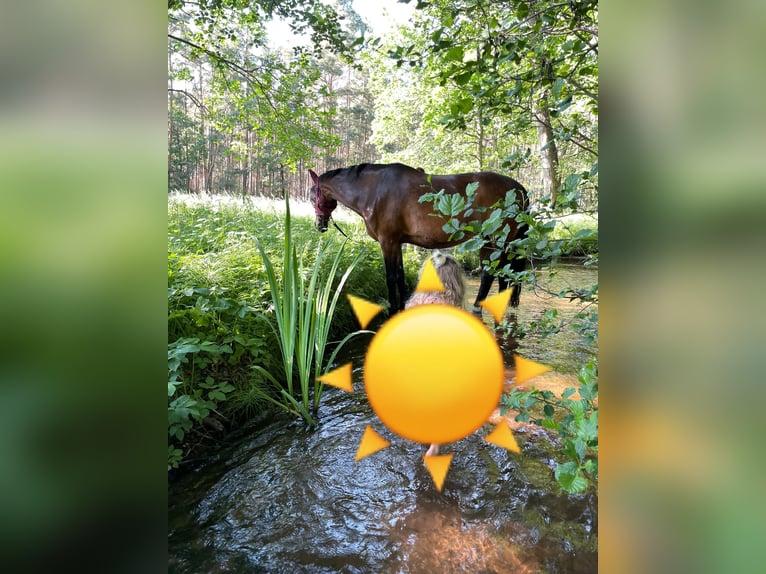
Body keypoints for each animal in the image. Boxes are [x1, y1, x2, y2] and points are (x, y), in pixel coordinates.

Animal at [308, 162, 532, 316]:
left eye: (312, 197)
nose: (320, 225)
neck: (373, 191)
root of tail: (518, 187)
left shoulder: (387, 241)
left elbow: (391, 277)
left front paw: (393, 309)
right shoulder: (397, 242)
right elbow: (399, 275)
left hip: (496, 240)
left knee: (490, 275)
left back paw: (477, 307)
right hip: (489, 241)